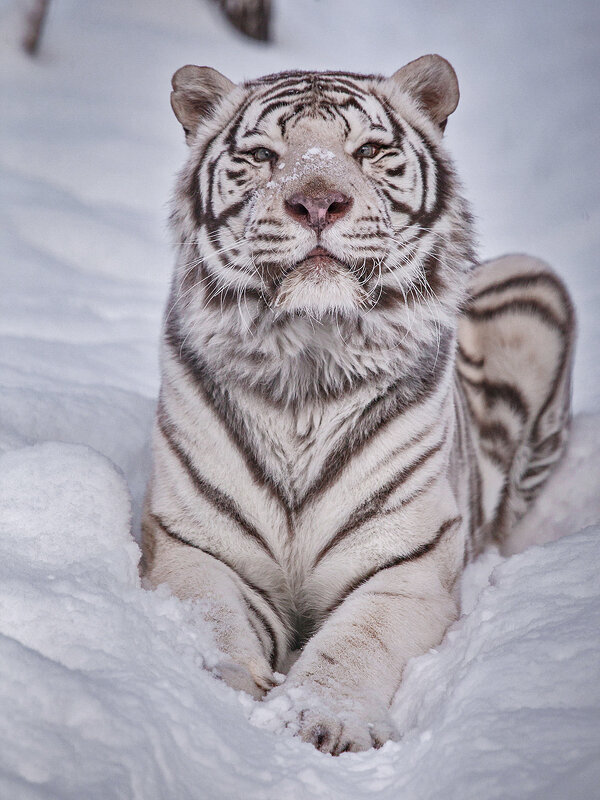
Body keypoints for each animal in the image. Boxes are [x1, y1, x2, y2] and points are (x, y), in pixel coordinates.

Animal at [142, 56, 576, 756]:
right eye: (262, 156)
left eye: (368, 151)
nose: (318, 203)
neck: (308, 363)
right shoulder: (195, 548)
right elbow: (212, 620)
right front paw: (224, 691)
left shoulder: (405, 566)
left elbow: (357, 643)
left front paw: (327, 719)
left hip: (537, 283)